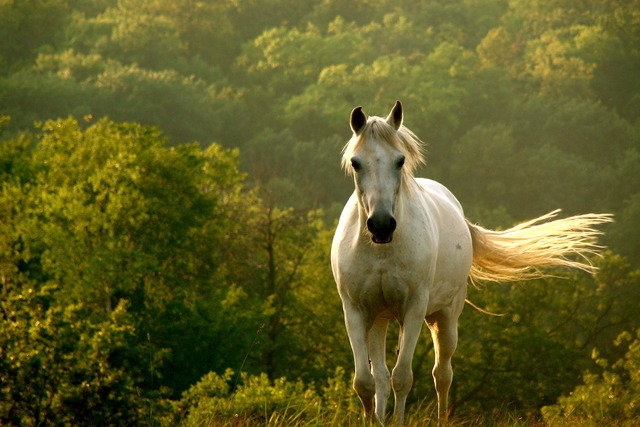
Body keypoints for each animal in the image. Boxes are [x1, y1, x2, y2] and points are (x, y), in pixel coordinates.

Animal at [330, 100, 612, 425]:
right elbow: (365, 382)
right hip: (380, 319)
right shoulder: (355, 311)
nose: (381, 225)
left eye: (400, 161)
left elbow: (403, 378)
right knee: (380, 377)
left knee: (442, 374)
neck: (381, 251)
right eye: (356, 163)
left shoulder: (413, 309)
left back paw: (442, 417)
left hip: (444, 317)